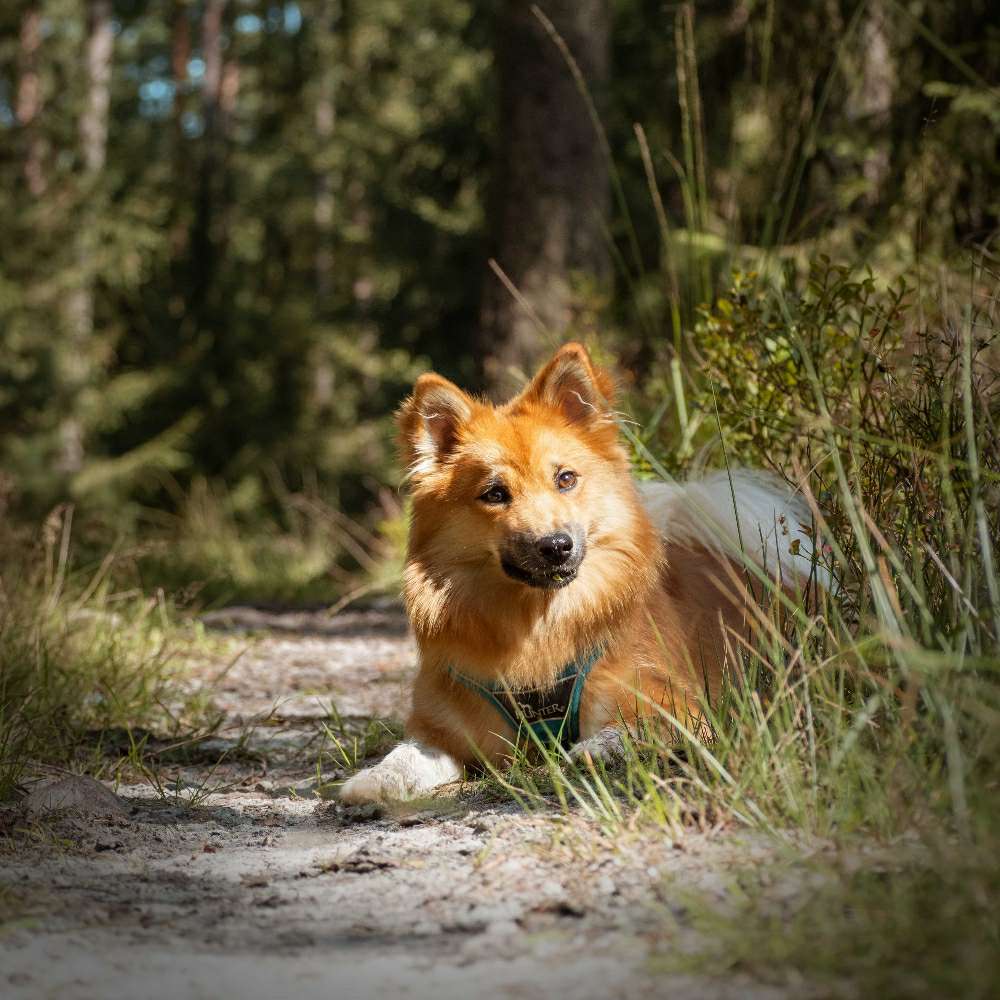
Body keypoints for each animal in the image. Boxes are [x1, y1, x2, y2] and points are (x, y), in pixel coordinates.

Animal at [340, 344, 824, 804]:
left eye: (566, 479)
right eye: (494, 493)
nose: (556, 546)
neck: (538, 626)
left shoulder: (677, 704)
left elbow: (630, 729)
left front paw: (596, 749)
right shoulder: (443, 729)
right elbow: (405, 755)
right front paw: (372, 780)